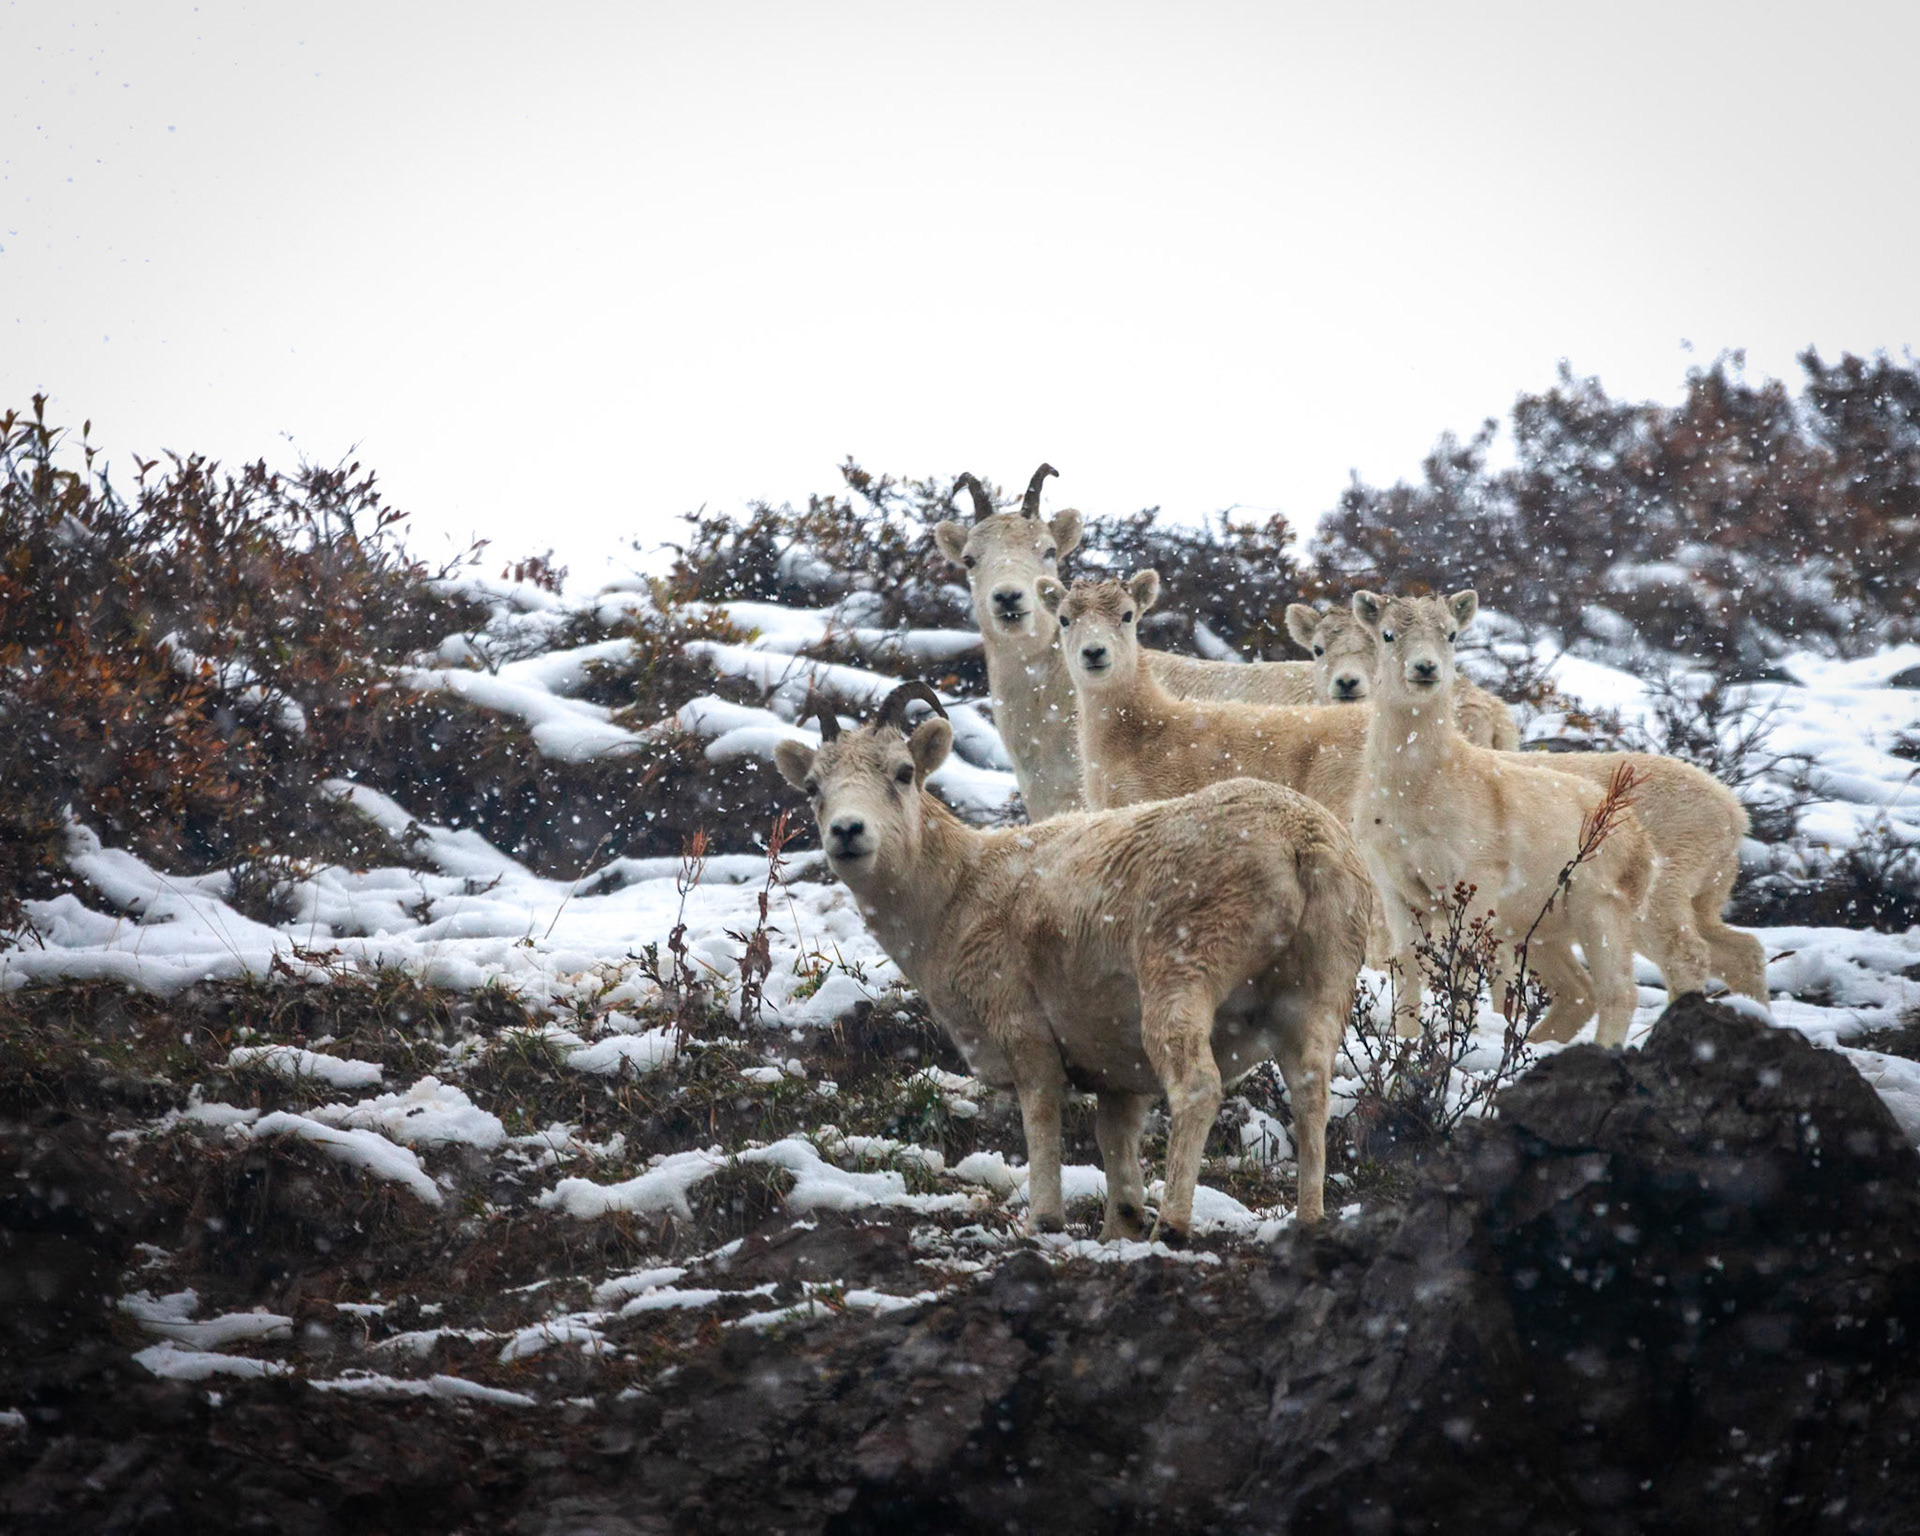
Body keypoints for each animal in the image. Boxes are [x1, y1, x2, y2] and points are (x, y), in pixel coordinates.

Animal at [772, 681, 1372, 1236]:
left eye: (901, 773)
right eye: (813, 787)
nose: (848, 831)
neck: (958, 893)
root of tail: (1299, 842)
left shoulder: (1024, 1031)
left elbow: (1041, 1121)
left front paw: (1045, 1220)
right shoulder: (1117, 1073)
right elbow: (1116, 1146)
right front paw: (1118, 1231)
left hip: (1181, 975)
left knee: (1198, 1087)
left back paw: (1172, 1227)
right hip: (1317, 992)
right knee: (1311, 1089)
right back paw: (1309, 1221)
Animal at [1350, 591, 1654, 1047]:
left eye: (1451, 634)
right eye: (1387, 634)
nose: (1425, 668)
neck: (1416, 794)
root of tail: (1645, 846)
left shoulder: (1476, 879)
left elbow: (1460, 966)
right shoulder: (1395, 888)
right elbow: (1407, 967)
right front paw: (1408, 1039)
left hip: (1600, 905)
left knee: (1617, 992)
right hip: (1540, 925)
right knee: (1577, 992)